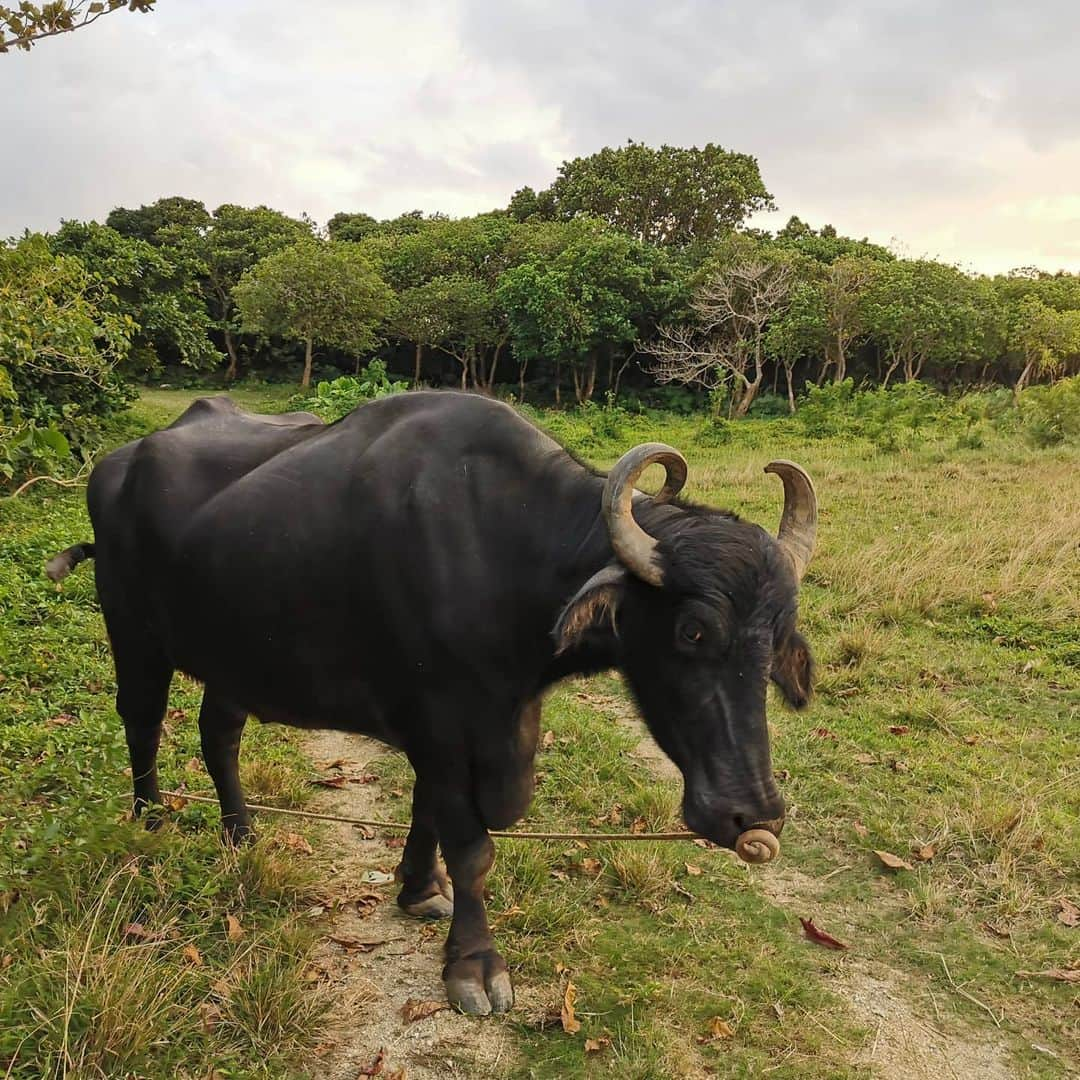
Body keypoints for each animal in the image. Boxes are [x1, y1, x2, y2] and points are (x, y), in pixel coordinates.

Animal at [46, 393, 812, 1015]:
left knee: (219, 736)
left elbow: (427, 815)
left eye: (778, 637)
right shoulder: (441, 723)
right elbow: (471, 846)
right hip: (132, 635)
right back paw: (150, 824)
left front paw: (416, 888)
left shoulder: (464, 727)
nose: (752, 814)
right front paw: (473, 964)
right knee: (142, 723)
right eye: (693, 631)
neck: (501, 551)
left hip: (232, 657)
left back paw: (242, 837)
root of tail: (116, 464)